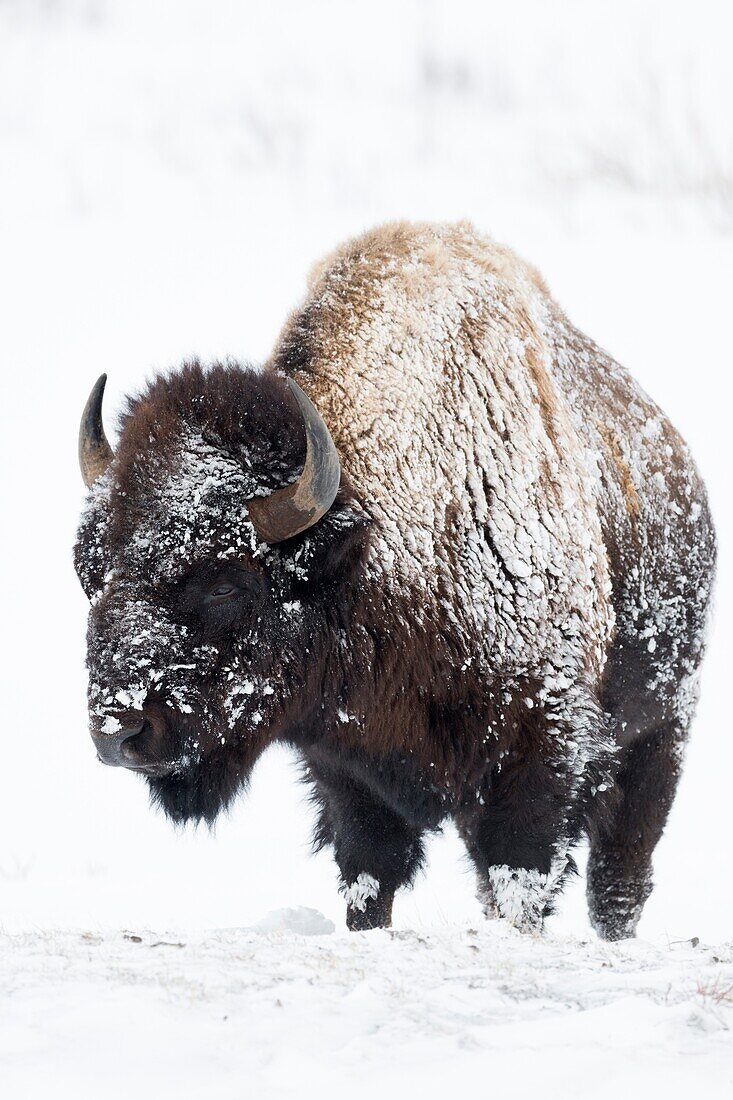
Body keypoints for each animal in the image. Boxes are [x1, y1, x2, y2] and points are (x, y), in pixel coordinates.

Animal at [75, 221, 713, 937]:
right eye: (90, 573)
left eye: (225, 585)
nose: (120, 732)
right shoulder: (348, 773)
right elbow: (370, 878)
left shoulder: (539, 751)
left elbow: (522, 877)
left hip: (661, 733)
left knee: (619, 877)